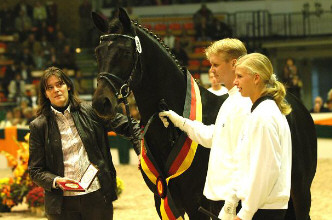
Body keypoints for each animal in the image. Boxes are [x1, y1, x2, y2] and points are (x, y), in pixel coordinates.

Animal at [90, 7, 316, 219]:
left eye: (125, 53)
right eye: (98, 52)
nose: (101, 103)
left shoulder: (197, 204)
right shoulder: (162, 201)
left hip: (300, 192)